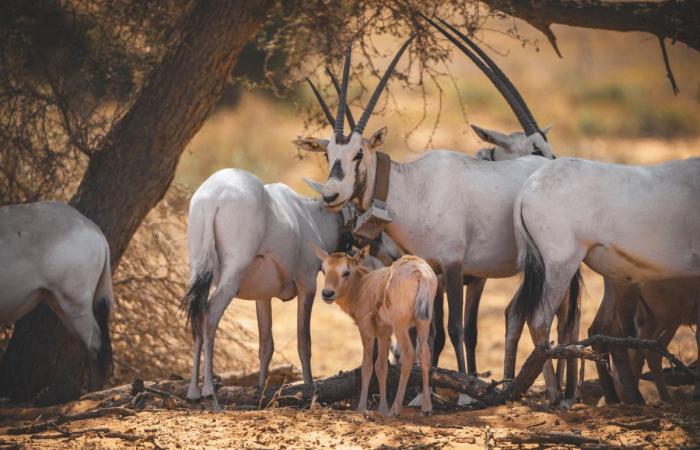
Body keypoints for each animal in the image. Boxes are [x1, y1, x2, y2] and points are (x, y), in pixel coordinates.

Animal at [314, 244, 438, 416]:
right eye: (324, 270)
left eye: (346, 272)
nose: (327, 294)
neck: (363, 285)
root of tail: (420, 273)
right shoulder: (384, 331)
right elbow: (381, 366)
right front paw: (382, 408)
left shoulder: (366, 329)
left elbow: (367, 365)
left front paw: (362, 407)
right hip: (423, 321)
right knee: (425, 354)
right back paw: (426, 407)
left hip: (400, 325)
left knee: (408, 354)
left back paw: (395, 409)